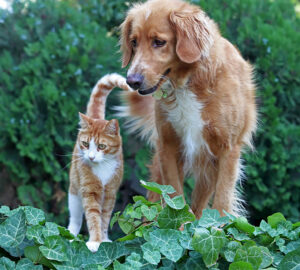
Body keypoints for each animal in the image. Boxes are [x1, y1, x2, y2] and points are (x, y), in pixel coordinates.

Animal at [68, 73, 131, 251]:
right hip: (74, 193)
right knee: (75, 219)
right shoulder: (89, 192)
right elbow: (93, 217)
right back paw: (71, 236)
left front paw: (103, 240)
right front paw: (95, 242)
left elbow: (104, 219)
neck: (102, 168)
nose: (90, 157)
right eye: (85, 144)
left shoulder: (110, 193)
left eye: (101, 146)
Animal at [116, 0, 255, 217]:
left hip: (209, 171)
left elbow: (222, 203)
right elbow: (175, 197)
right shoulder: (168, 147)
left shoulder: (228, 151)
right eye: (134, 42)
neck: (188, 82)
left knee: (200, 207)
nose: (132, 81)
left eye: (159, 42)